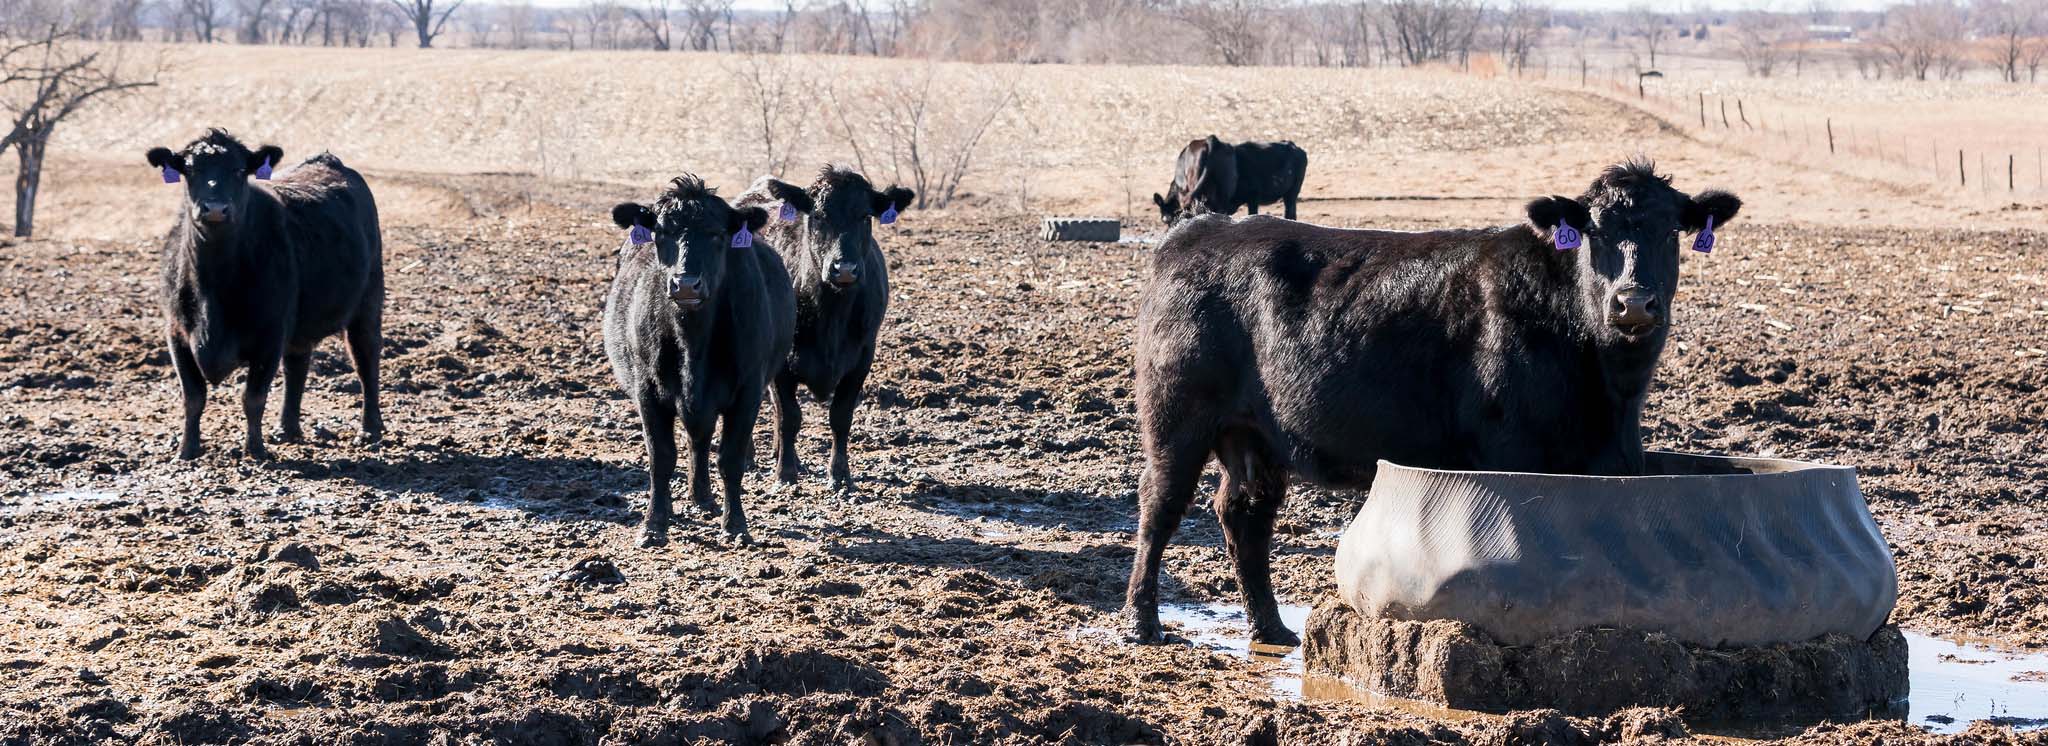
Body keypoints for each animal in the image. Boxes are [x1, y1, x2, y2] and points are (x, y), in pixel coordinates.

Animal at [145, 129, 385, 461]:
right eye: (190, 170)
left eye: (238, 170)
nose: (215, 208)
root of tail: (329, 161)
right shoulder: (177, 334)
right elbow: (193, 397)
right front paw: (187, 450)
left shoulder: (269, 335)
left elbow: (253, 397)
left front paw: (255, 451)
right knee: (297, 364)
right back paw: (286, 429)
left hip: (368, 301)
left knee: (366, 359)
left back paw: (370, 430)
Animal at [604, 174, 795, 547]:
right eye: (661, 233)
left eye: (717, 235)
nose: (686, 284)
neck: (694, 343)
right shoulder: (647, 391)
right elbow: (661, 458)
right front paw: (653, 525)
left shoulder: (748, 391)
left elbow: (730, 459)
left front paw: (735, 526)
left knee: (701, 440)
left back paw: (704, 499)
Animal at [735, 167, 914, 494]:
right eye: (818, 216)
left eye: (865, 216)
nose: (844, 269)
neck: (832, 313)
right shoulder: (783, 363)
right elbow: (790, 416)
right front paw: (785, 474)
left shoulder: (862, 359)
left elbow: (840, 417)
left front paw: (840, 474)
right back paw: (751, 458)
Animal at [1123, 160, 1741, 646]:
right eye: (1594, 232)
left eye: (1671, 231)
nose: (1633, 303)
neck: (1612, 391)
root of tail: (1199, 230)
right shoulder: (1511, 453)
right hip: (1176, 416)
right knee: (1160, 505)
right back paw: (1142, 623)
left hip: (1254, 435)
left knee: (1243, 513)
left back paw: (1271, 628)